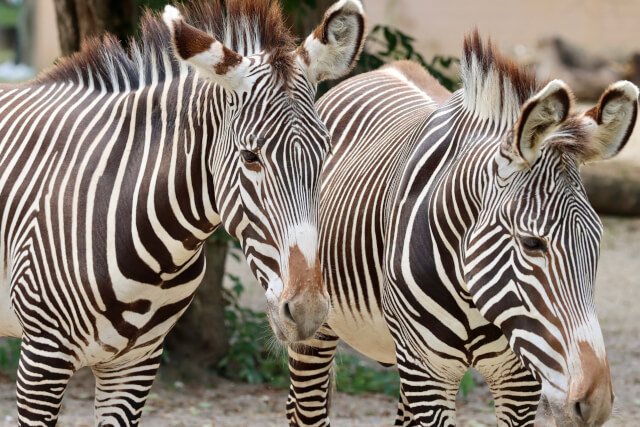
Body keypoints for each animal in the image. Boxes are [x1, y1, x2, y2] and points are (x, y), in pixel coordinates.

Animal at [288, 31, 636, 426]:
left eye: (598, 240)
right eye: (532, 243)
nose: (596, 403)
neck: (473, 300)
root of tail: (387, 69)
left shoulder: (519, 380)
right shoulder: (428, 371)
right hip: (314, 324)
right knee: (305, 408)